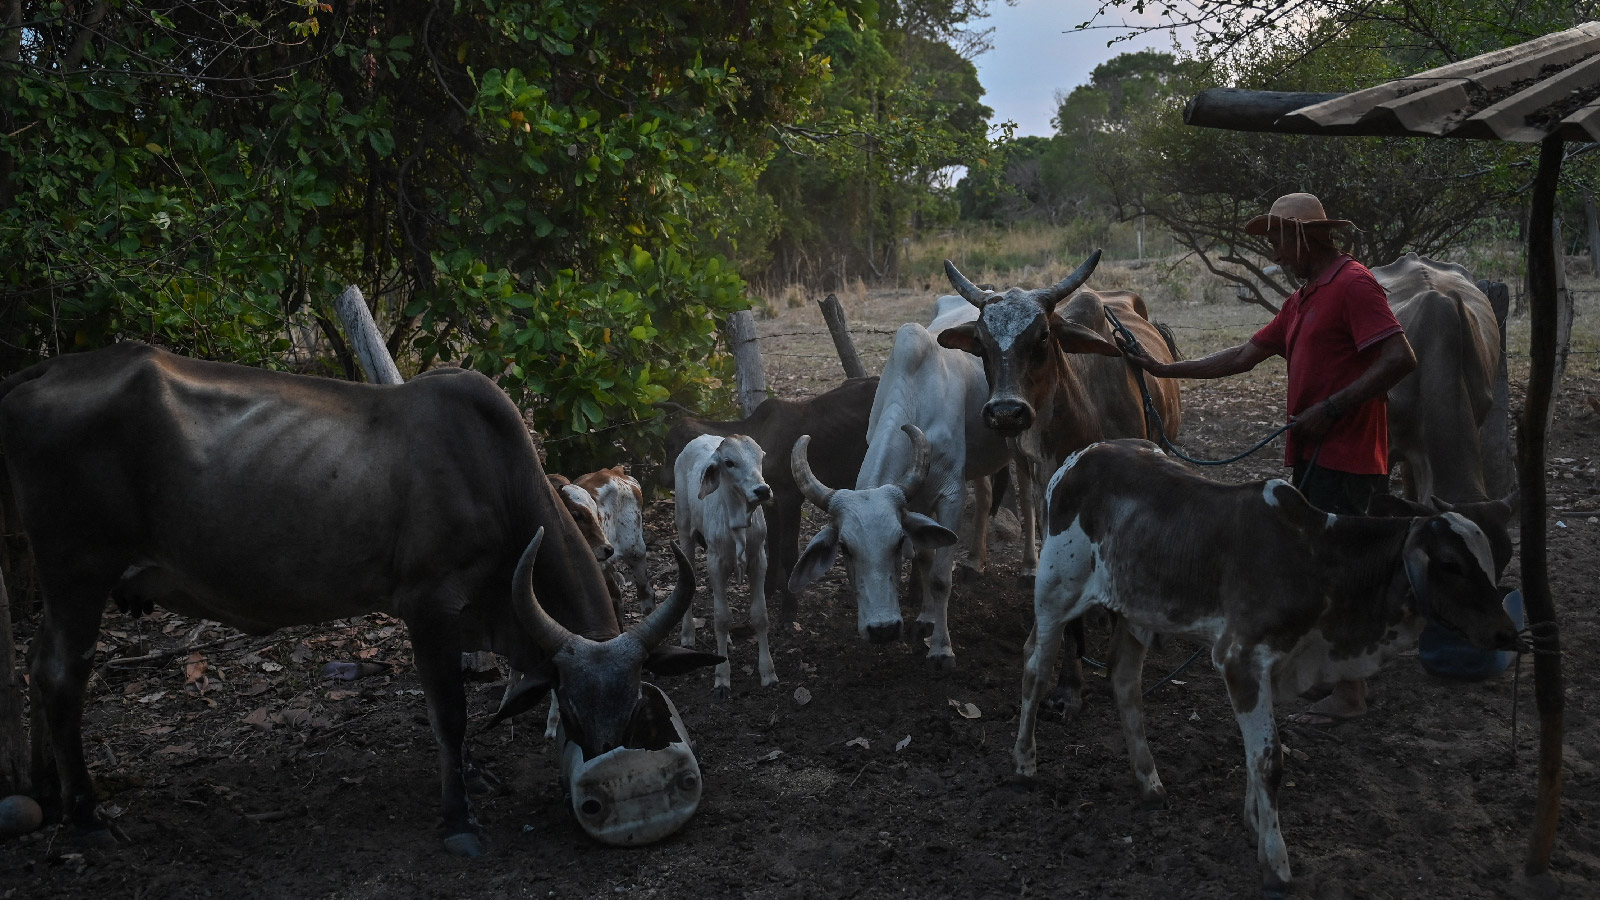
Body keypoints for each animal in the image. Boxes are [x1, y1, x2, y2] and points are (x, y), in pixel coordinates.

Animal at [0, 342, 713, 851]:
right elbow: (449, 714)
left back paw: (49, 795)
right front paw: (459, 818)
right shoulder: (429, 606)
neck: (497, 476)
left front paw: (473, 778)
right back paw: (86, 818)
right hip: (76, 574)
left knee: (37, 668)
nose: (605, 776)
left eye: (633, 706)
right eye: (570, 707)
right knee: (61, 673)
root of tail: (41, 372)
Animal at [672, 432, 777, 695]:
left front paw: (767, 672)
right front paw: (722, 676)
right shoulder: (716, 563)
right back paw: (687, 634)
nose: (762, 490)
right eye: (729, 463)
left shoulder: (759, 561)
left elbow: (759, 615)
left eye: (760, 457)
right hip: (684, 532)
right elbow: (721, 618)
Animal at [1017, 438, 1516, 890]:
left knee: (1124, 681)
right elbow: (1269, 761)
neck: (1319, 561)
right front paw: (1277, 864)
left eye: (1493, 561)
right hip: (1055, 592)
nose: (1506, 633)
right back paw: (1024, 764)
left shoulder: (1273, 668)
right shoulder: (1240, 660)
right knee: (1035, 669)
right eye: (1450, 563)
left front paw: (1255, 827)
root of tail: (1079, 457)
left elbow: (1254, 755)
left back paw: (1149, 783)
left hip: (1138, 610)